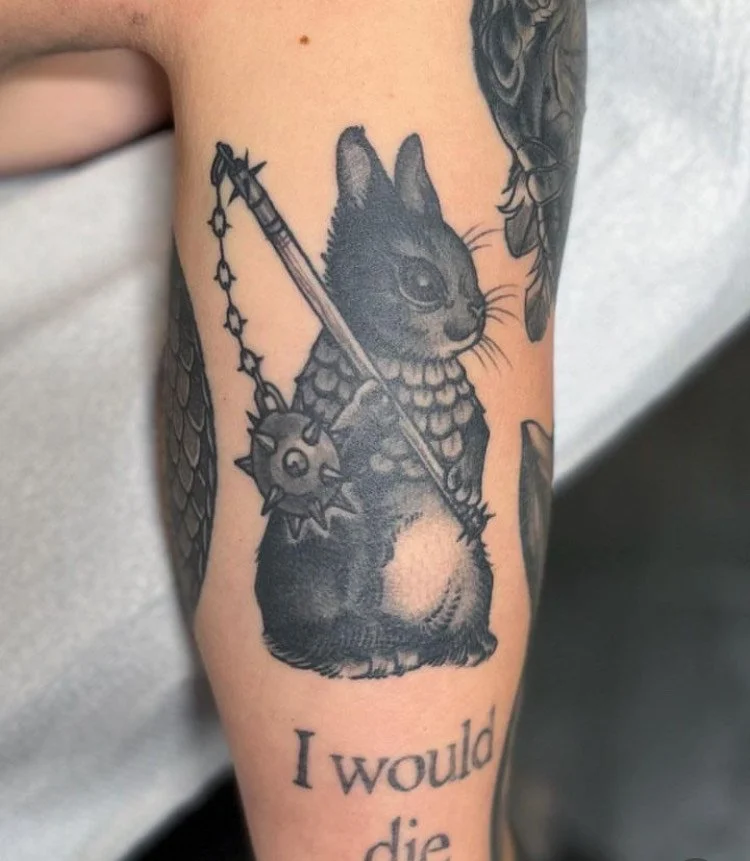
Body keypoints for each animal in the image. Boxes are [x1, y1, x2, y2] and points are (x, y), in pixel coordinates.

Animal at [255, 127, 497, 679]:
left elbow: (478, 433)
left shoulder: (470, 412)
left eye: (471, 268)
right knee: (327, 627)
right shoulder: (322, 428)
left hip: (473, 572)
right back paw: (365, 654)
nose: (474, 320)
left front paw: (465, 487)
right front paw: (375, 404)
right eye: (423, 283)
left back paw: (464, 646)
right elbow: (338, 446)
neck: (406, 358)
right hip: (327, 562)